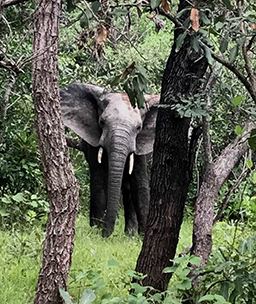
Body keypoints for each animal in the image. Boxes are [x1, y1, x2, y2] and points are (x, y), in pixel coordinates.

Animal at [59, 83, 158, 238]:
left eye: (139, 127)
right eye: (102, 122)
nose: (107, 234)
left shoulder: (139, 143)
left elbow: (139, 181)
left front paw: (143, 236)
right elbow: (99, 178)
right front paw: (97, 231)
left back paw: (130, 234)